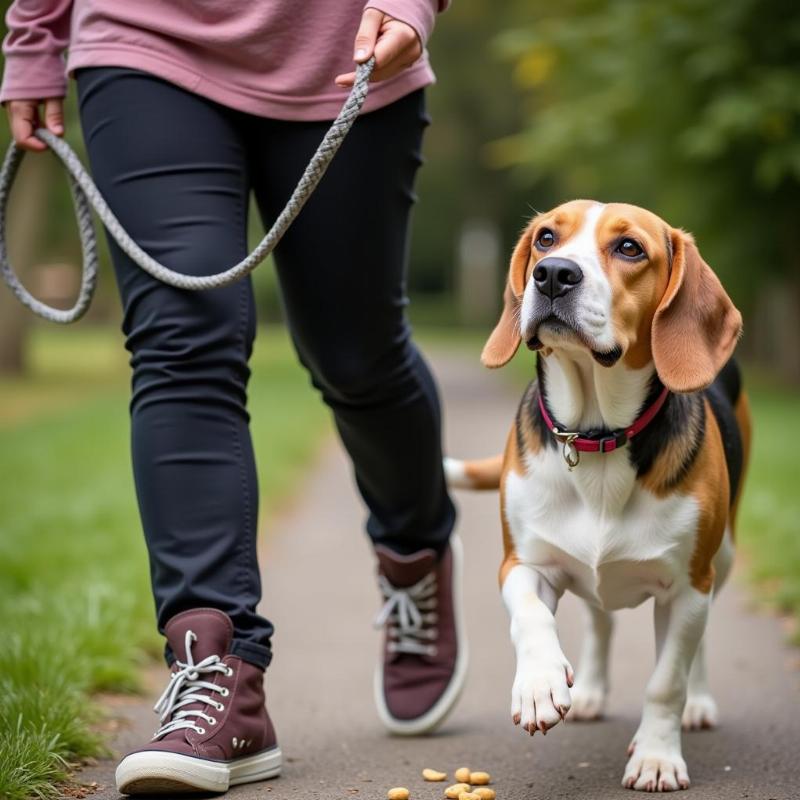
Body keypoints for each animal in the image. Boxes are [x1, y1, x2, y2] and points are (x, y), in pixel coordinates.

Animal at [446, 202, 752, 792]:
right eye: (546, 239)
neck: (597, 436)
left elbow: (666, 680)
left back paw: (699, 704)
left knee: (697, 647)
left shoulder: (688, 588)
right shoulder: (521, 563)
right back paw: (587, 690)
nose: (553, 274)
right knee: (599, 618)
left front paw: (656, 757)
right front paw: (539, 684)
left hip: (721, 558)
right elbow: (531, 617)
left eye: (630, 248)